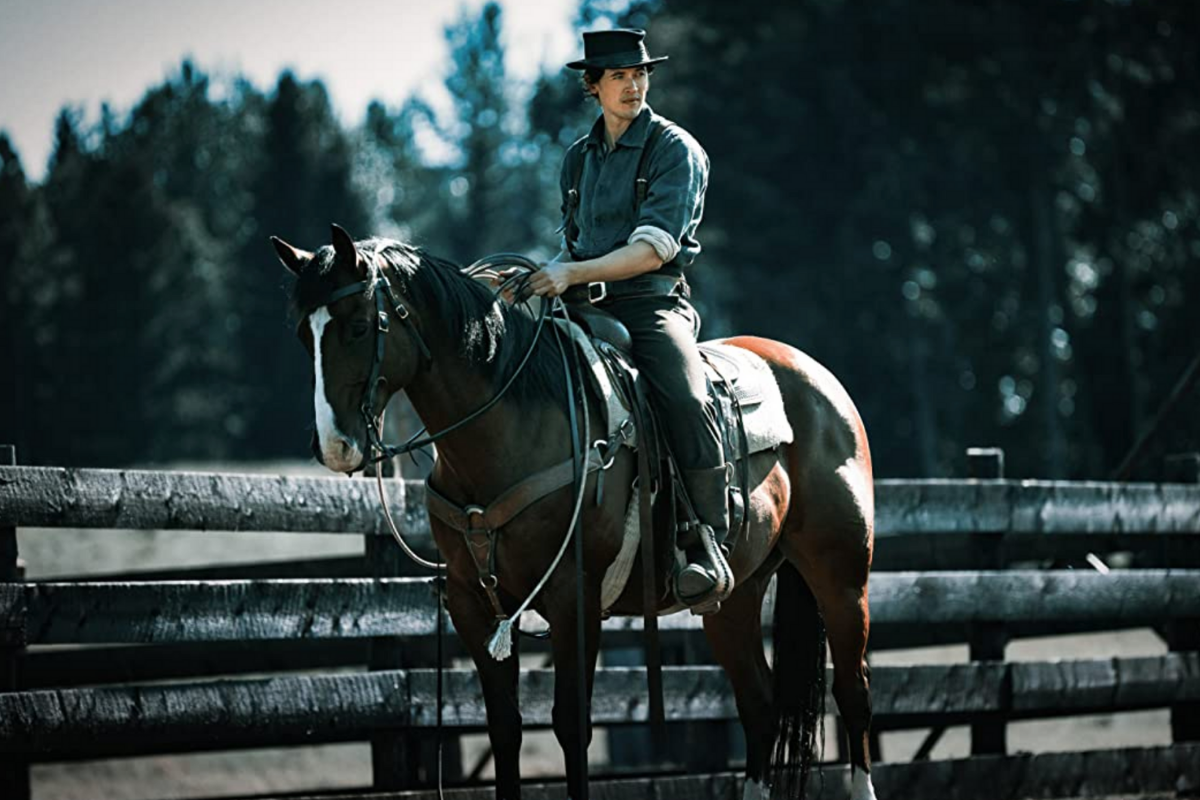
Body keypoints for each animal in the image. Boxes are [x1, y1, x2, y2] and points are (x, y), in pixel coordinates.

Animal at [271, 225, 878, 800]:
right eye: (302, 333)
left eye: (356, 327)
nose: (334, 447)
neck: (508, 432)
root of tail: (815, 376)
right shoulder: (473, 605)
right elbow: (505, 727)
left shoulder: (574, 601)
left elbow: (571, 726)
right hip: (735, 596)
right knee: (759, 705)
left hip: (841, 577)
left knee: (853, 694)